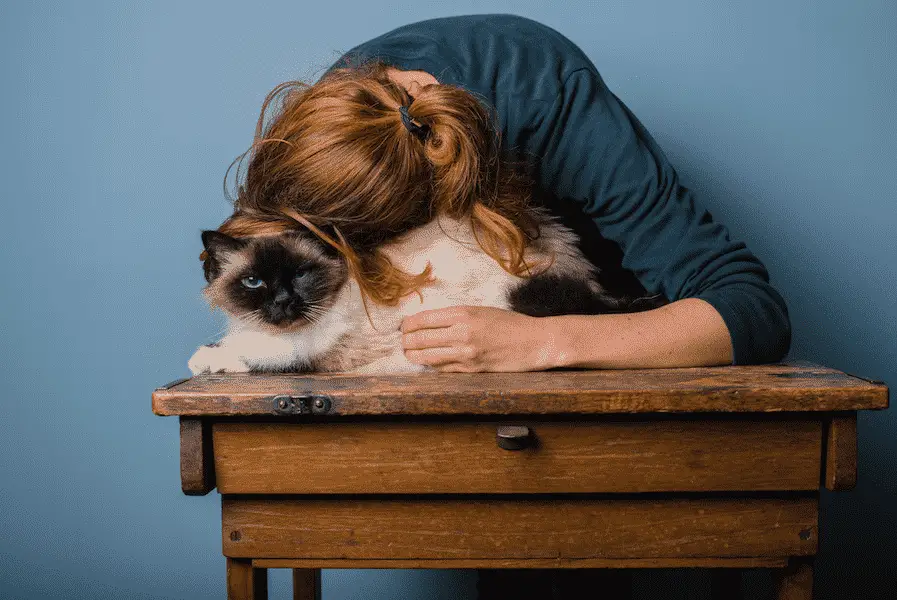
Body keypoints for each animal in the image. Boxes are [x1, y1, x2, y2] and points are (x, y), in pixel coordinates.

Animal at [189, 207, 648, 376]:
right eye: (254, 282)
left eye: (301, 274)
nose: (284, 302)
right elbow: (237, 340)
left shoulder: (308, 350)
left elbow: (253, 354)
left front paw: (206, 360)